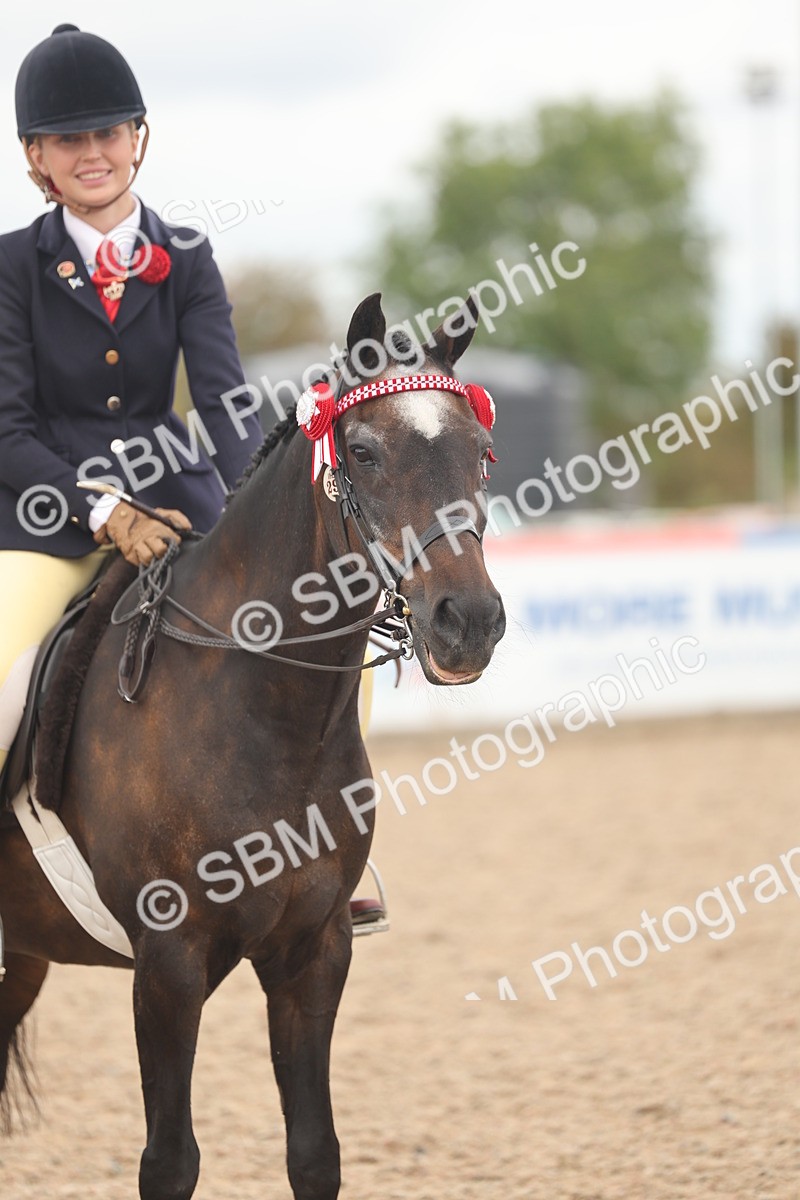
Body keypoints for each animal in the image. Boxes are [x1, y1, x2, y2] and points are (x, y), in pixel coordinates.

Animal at [0, 291, 505, 1200]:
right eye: (364, 452)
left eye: (481, 454)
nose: (470, 622)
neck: (265, 718)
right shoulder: (168, 965)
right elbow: (170, 1162)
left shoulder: (314, 953)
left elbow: (314, 1153)